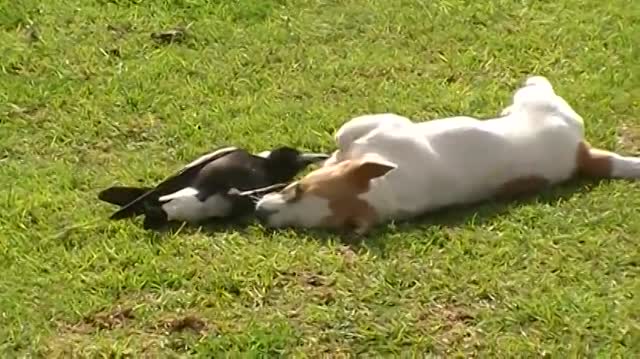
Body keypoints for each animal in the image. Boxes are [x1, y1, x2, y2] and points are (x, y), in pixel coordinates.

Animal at [254, 75, 640, 233]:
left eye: (298, 190)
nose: (258, 213)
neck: (383, 189)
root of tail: (581, 153)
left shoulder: (381, 125)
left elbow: (344, 137)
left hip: (538, 102)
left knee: (536, 86)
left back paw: (533, 80)